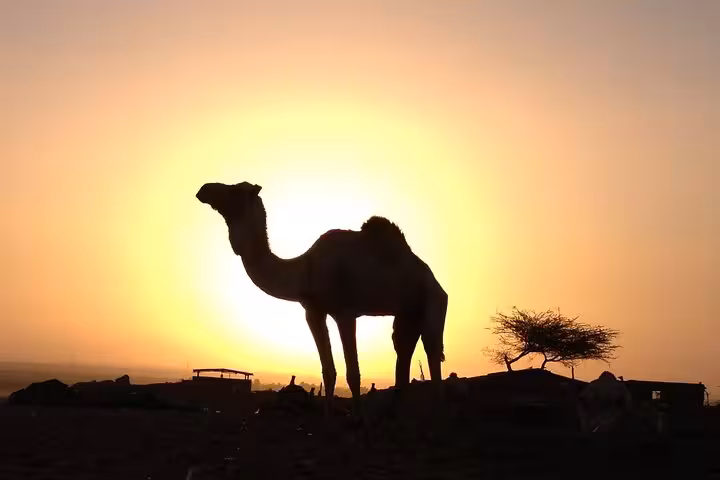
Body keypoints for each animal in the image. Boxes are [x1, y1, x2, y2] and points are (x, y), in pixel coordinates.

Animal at [196, 181, 448, 414]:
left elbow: (353, 373)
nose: (204, 189)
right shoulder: (313, 311)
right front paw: (329, 419)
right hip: (407, 314)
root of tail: (433, 278)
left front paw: (358, 421)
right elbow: (328, 371)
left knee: (432, 352)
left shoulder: (345, 313)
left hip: (433, 300)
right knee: (402, 349)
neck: (304, 270)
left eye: (236, 189)